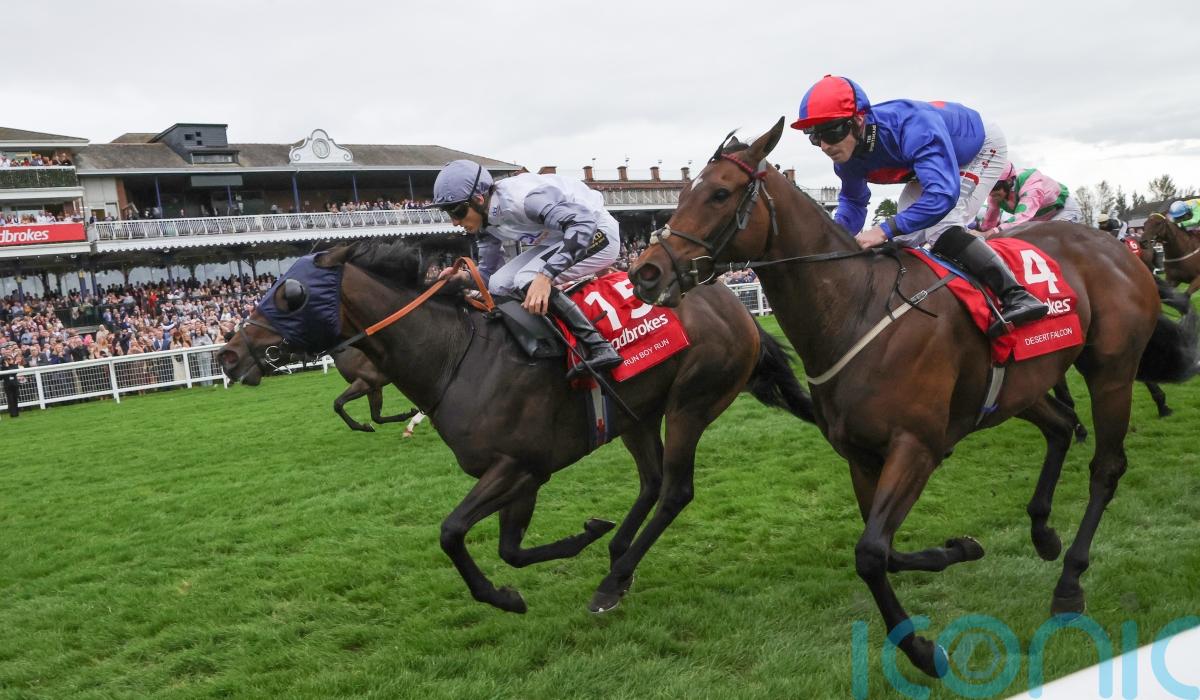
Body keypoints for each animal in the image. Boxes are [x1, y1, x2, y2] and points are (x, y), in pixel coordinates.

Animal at [219, 240, 815, 614]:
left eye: (290, 294)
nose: (228, 354)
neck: (457, 357)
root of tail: (734, 305)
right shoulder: (519, 477)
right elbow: (509, 549)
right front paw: (583, 536)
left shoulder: (518, 467)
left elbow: (452, 532)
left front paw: (504, 596)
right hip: (634, 412)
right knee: (650, 483)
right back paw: (618, 552)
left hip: (691, 400)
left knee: (675, 490)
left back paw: (613, 578)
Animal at [628, 118, 1200, 677]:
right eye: (682, 195)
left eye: (720, 193)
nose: (644, 272)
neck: (856, 308)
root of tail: (1119, 251)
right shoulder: (861, 456)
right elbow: (883, 550)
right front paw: (958, 549)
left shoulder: (917, 447)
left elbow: (870, 553)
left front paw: (924, 652)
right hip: (1020, 384)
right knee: (1060, 425)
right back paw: (1043, 533)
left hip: (1110, 371)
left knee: (1107, 467)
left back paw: (1070, 581)